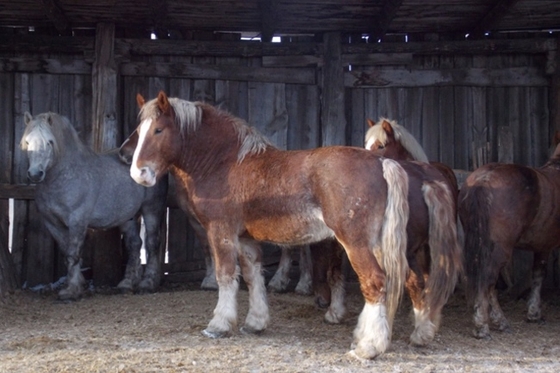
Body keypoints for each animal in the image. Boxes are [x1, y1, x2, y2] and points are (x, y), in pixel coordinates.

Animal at [121, 89, 412, 358]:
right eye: (139, 129)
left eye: (158, 130)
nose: (138, 173)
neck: (226, 163)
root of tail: (381, 162)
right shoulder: (245, 239)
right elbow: (253, 276)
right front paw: (255, 322)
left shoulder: (221, 231)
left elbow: (226, 275)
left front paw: (219, 325)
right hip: (375, 245)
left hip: (355, 243)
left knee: (374, 282)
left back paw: (368, 347)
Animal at [458, 133, 560, 338]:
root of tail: (482, 180)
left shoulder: (542, 245)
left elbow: (538, 273)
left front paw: (533, 313)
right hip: (500, 248)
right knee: (487, 280)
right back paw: (484, 325)